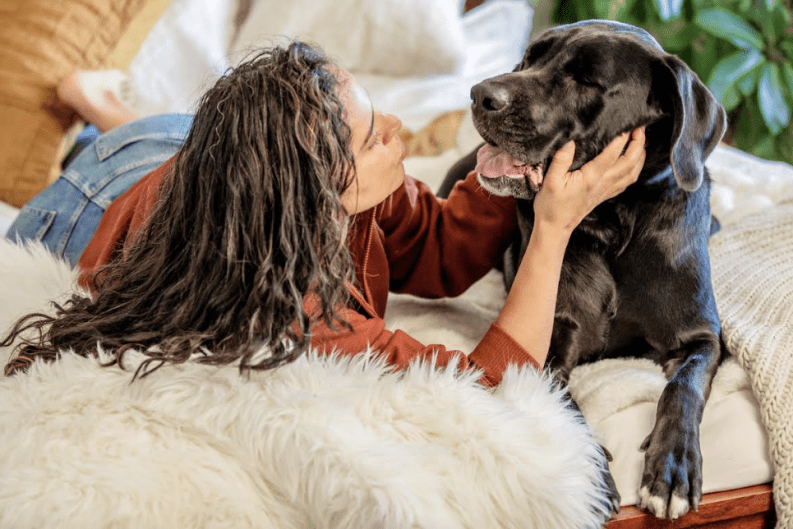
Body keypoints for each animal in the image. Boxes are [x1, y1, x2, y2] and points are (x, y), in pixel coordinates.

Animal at [438, 20, 727, 521]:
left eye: (587, 80)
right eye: (526, 60)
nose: (479, 94)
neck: (614, 223)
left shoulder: (703, 337)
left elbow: (683, 388)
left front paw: (673, 465)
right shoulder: (547, 344)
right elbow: (564, 406)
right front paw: (591, 472)